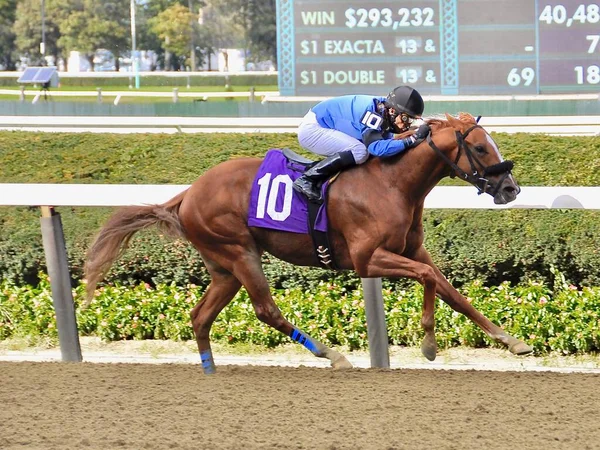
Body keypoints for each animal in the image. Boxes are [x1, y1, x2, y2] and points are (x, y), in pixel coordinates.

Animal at [83, 114, 528, 374]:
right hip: (239, 252)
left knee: (199, 316)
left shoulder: (410, 251)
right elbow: (428, 279)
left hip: (223, 267)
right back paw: (333, 355)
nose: (511, 188)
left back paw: (211, 372)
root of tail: (188, 193)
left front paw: (512, 341)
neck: (391, 182)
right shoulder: (368, 260)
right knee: (265, 310)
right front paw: (430, 345)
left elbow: (453, 291)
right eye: (480, 146)